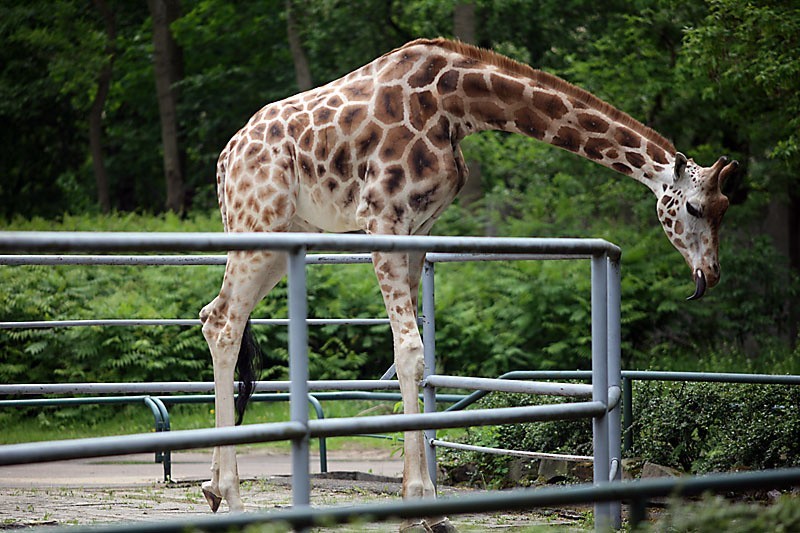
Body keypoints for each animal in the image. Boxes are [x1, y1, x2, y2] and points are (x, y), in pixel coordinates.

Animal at [198, 38, 736, 528]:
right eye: (692, 208)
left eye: (724, 209)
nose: (709, 274)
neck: (454, 107)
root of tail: (224, 161)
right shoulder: (381, 218)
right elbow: (409, 351)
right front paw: (422, 502)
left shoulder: (419, 227)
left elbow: (415, 354)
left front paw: (427, 507)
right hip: (257, 224)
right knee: (223, 322)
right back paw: (233, 498)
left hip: (280, 235)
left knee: (215, 316)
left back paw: (214, 489)